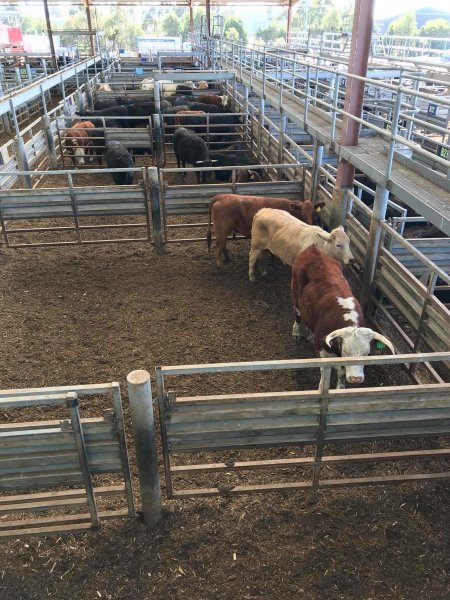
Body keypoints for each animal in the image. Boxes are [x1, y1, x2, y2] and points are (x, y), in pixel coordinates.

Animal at [292, 245, 394, 390]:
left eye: (366, 354)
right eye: (346, 351)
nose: (356, 379)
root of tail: (312, 249)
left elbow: (341, 373)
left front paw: (340, 388)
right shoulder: (322, 351)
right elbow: (324, 371)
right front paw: (322, 386)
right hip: (295, 294)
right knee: (298, 315)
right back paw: (297, 332)